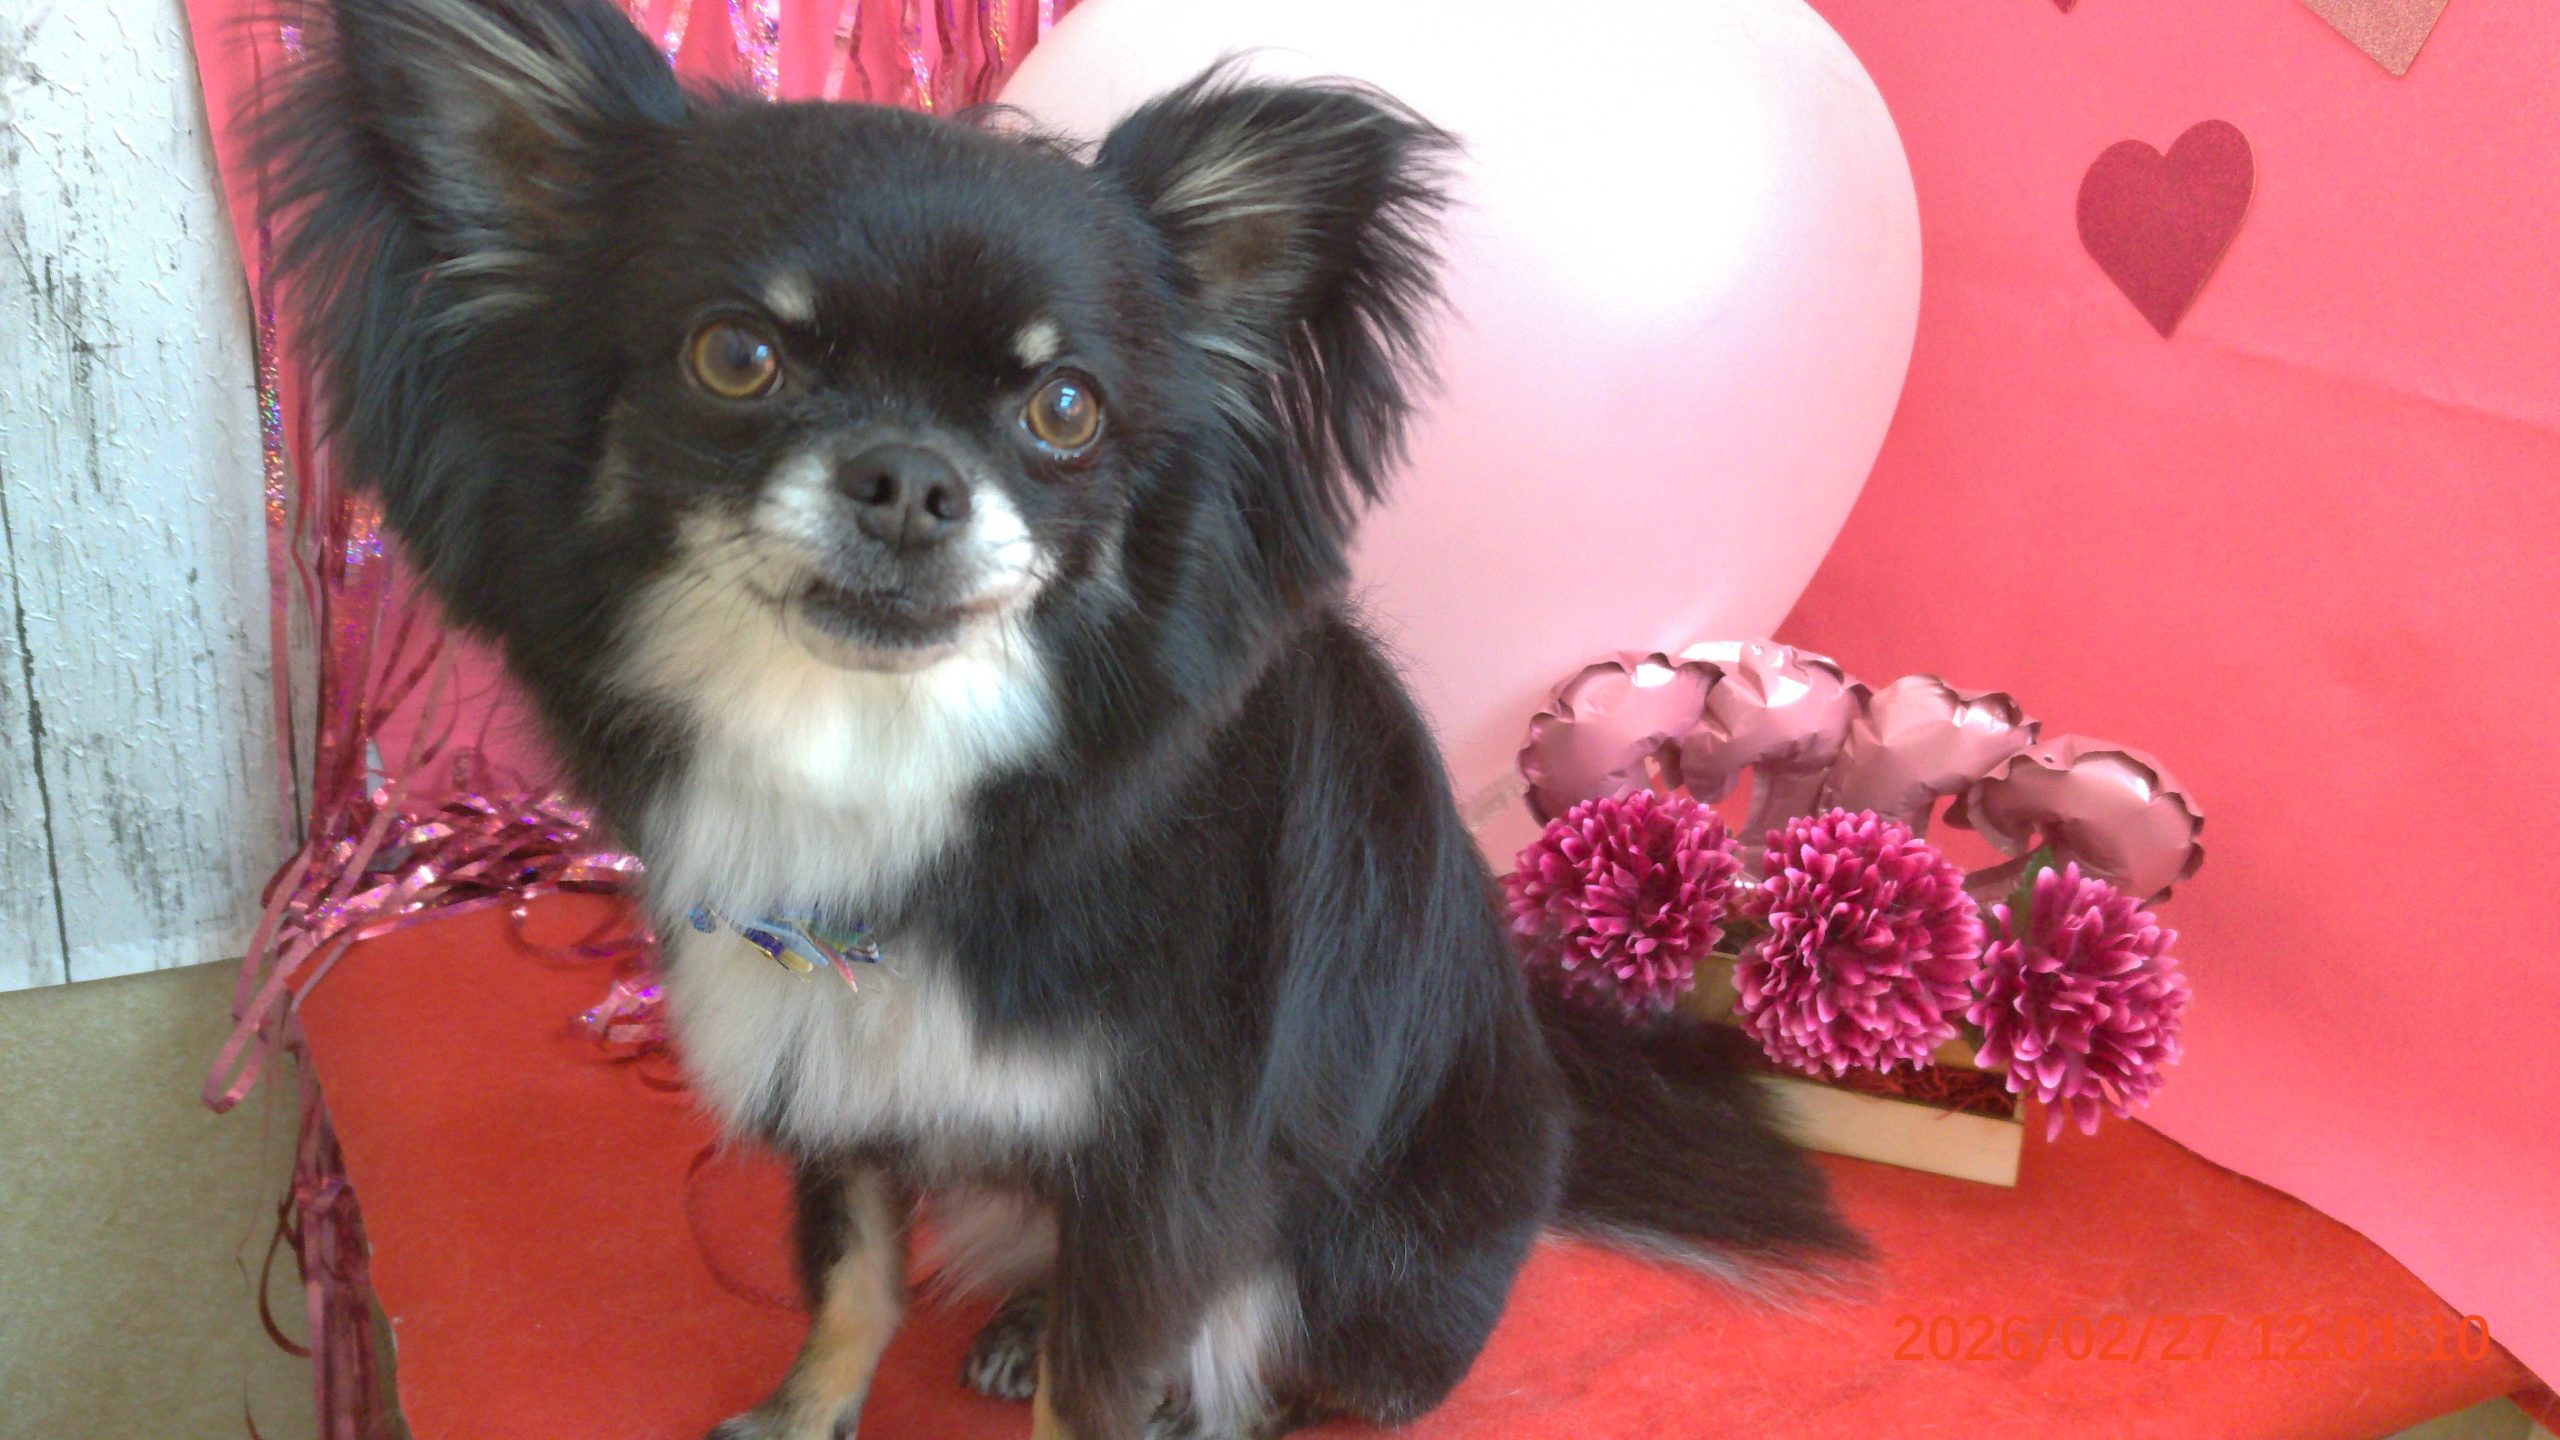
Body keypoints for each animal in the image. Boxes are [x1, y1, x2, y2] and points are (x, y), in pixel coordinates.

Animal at [262, 2, 1863, 1436]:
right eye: (737, 357)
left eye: (1067, 410)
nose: (910, 478)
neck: (882, 760)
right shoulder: (834, 1069)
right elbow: (850, 1277)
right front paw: (804, 1413)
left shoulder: (1165, 1170)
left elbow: (1101, 1383)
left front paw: (1088, 1391)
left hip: (1381, 1263)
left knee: (1307, 1370)